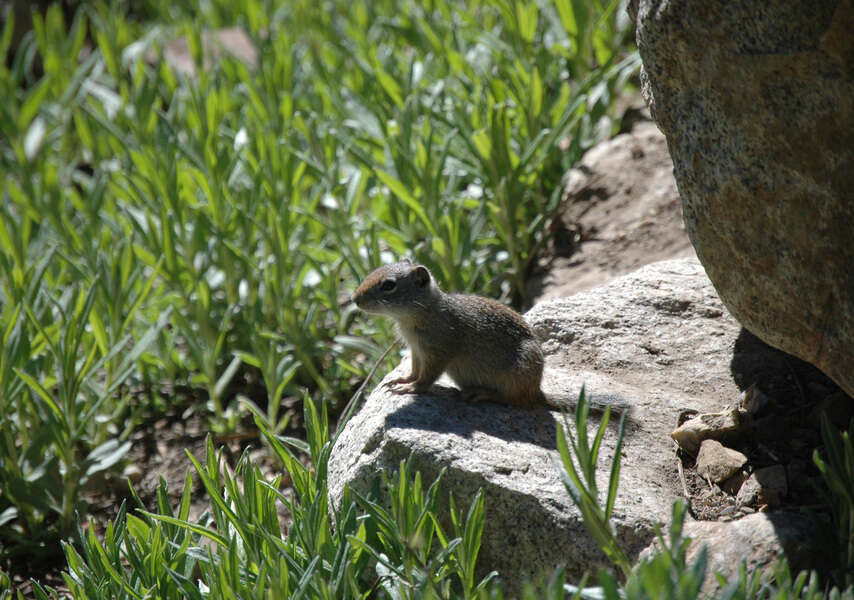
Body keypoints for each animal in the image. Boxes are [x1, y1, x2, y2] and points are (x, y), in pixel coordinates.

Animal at [354, 258, 548, 408]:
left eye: (388, 285)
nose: (355, 299)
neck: (426, 312)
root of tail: (539, 392)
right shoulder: (416, 350)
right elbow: (415, 370)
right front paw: (403, 380)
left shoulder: (438, 353)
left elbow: (427, 377)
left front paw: (411, 388)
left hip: (522, 369)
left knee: (515, 399)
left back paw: (483, 394)